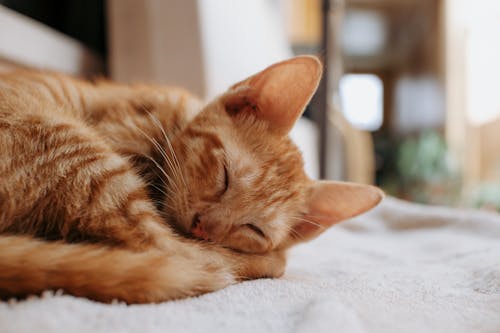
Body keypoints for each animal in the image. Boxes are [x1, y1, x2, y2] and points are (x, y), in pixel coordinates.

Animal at [0, 55, 382, 302]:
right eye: (224, 175)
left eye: (254, 229)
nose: (203, 227)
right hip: (79, 151)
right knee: (170, 249)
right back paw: (268, 263)